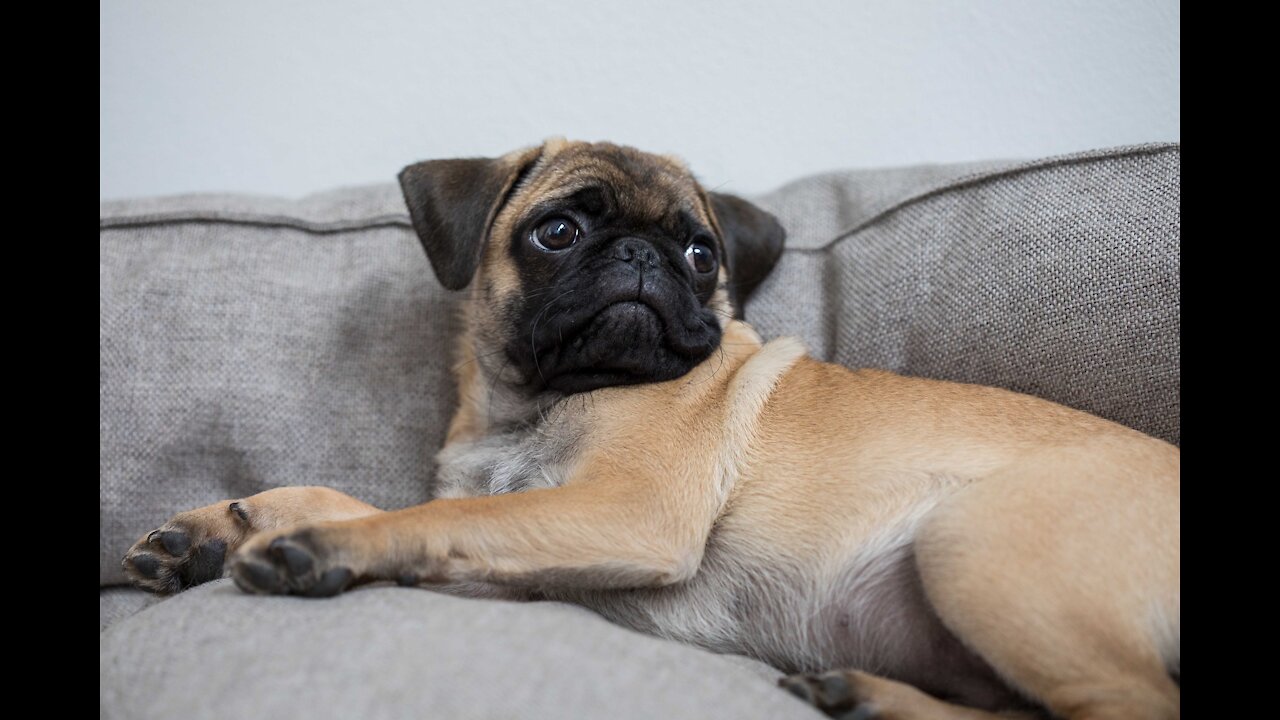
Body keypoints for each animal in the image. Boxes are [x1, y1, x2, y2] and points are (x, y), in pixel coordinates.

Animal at [122, 137, 1177, 712]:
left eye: (701, 251)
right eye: (557, 232)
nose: (640, 254)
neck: (536, 407)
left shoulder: (619, 514)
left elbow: (428, 520)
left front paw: (318, 547)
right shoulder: (528, 532)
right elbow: (374, 499)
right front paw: (216, 527)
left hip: (973, 541)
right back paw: (868, 696)